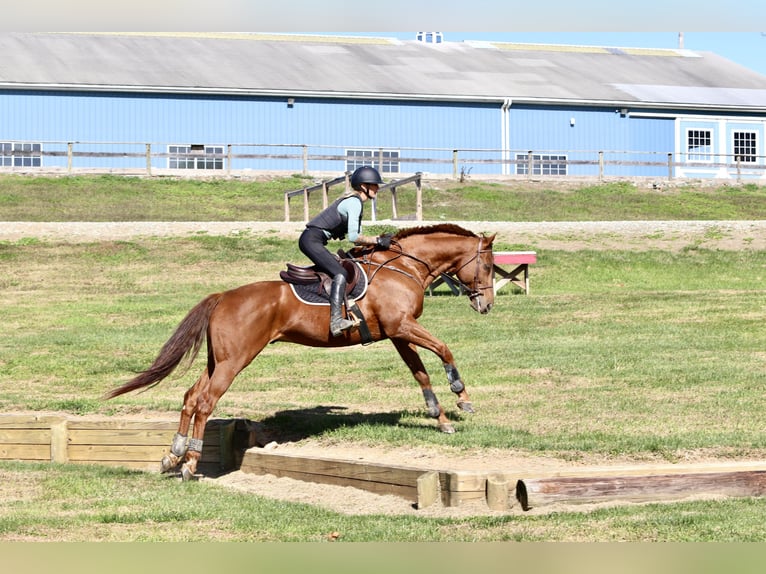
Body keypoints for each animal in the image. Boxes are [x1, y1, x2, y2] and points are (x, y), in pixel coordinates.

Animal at [105, 223, 496, 480]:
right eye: (490, 266)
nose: (487, 305)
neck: (405, 266)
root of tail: (223, 296)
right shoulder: (402, 327)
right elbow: (444, 350)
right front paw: (462, 398)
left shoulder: (397, 333)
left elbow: (420, 372)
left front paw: (440, 418)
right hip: (235, 360)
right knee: (204, 403)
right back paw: (190, 463)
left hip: (219, 360)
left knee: (189, 398)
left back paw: (173, 456)